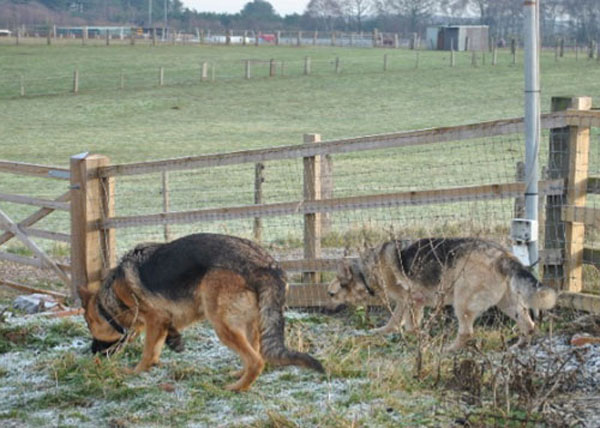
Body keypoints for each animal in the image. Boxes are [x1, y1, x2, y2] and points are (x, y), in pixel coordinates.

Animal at [81, 234, 324, 392]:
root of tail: (267, 264)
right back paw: (240, 375)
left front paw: (135, 371)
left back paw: (237, 387)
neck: (111, 296)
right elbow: (160, 344)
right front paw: (172, 344)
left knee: (256, 361)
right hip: (249, 325)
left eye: (90, 325)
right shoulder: (161, 321)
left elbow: (148, 351)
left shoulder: (154, 319)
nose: (92, 352)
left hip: (223, 325)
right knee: (255, 353)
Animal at [328, 237, 556, 352]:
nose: (327, 307)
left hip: (461, 303)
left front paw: (417, 338)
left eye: (331, 294)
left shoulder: (410, 300)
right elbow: (395, 322)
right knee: (528, 324)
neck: (365, 271)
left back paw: (449, 349)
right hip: (507, 304)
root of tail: (503, 255)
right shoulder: (408, 302)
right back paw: (519, 346)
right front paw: (385, 332)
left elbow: (407, 324)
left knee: (467, 333)